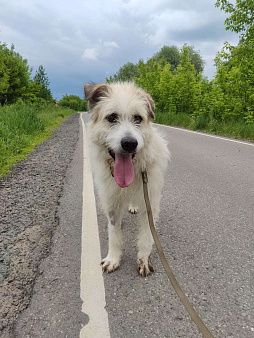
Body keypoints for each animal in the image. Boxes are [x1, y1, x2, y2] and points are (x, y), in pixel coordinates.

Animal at [84, 82, 170, 278]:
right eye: (112, 117)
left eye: (138, 118)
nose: (130, 143)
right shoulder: (111, 202)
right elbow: (114, 233)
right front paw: (113, 259)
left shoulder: (149, 203)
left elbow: (146, 236)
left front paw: (144, 260)